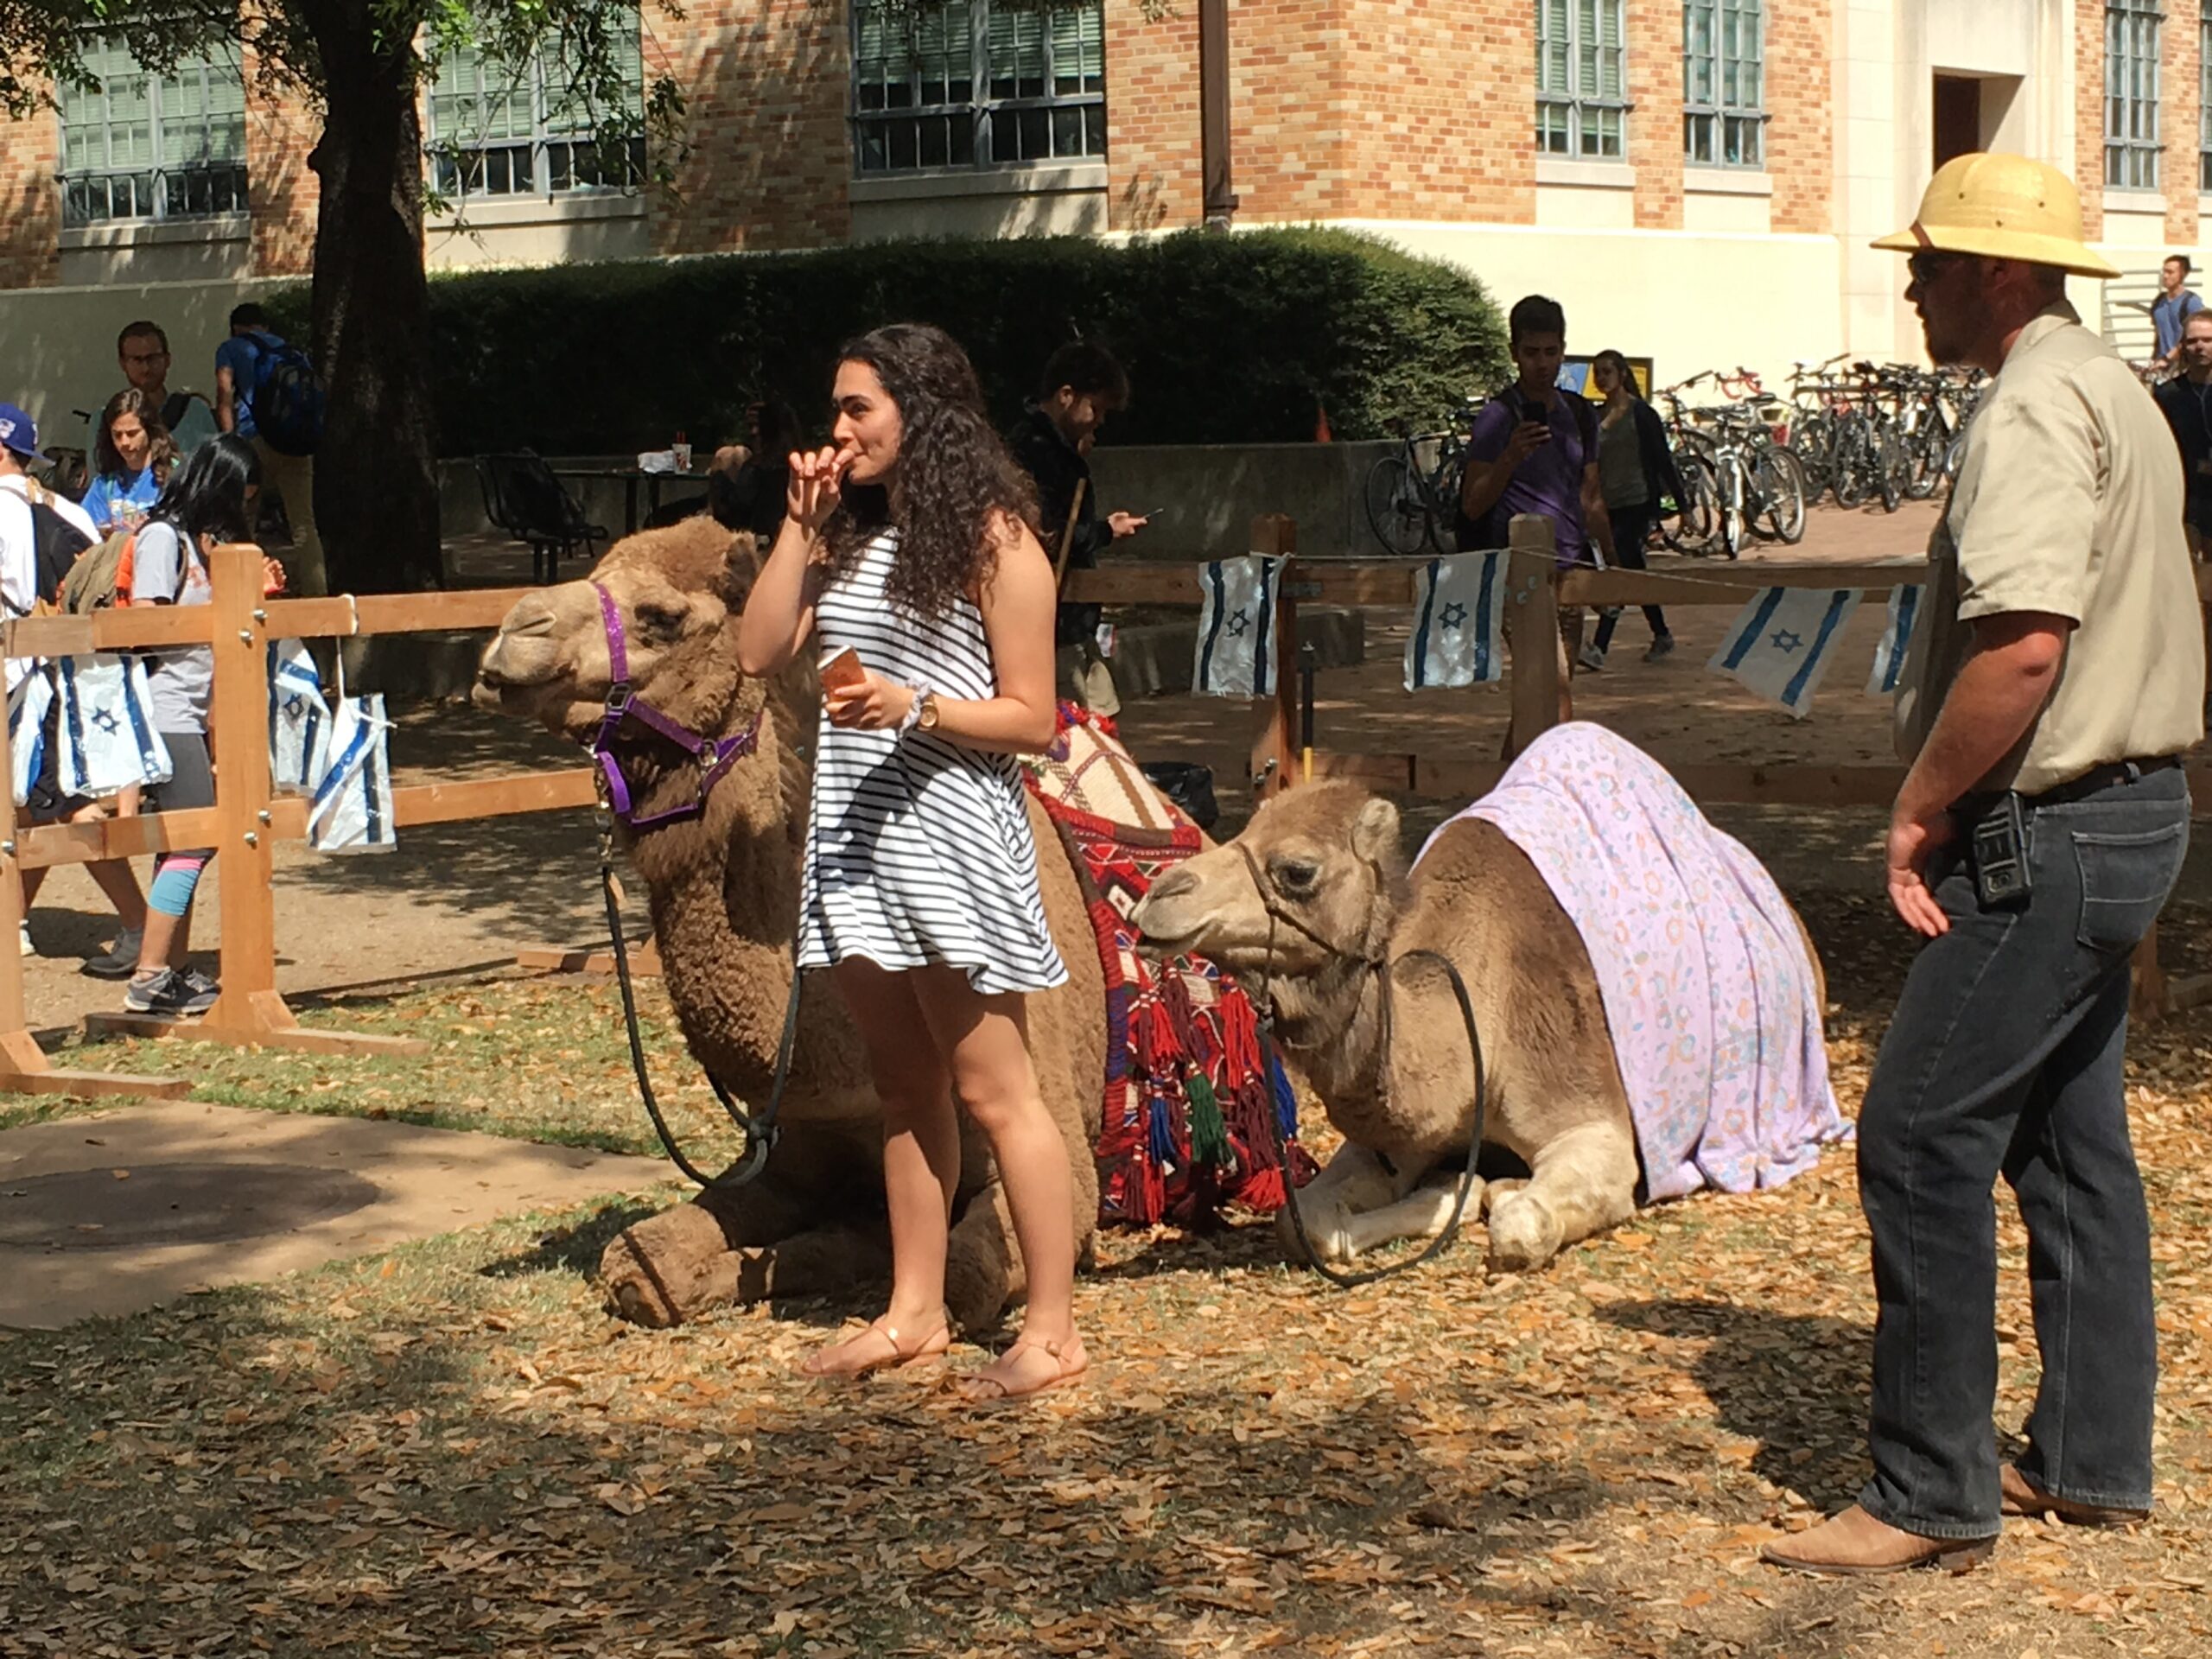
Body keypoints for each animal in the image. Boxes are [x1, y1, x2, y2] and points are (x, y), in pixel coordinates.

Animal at [474, 516, 1106, 1330]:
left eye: (660, 616)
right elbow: (644, 1265)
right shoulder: (792, 1162)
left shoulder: (1065, 1156)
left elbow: (965, 1272)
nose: (513, 633)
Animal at [1130, 775, 1832, 1272]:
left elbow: (1522, 1224)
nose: (1159, 895)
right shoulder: (1390, 1142)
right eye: (1242, 832)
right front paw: (1449, 1196)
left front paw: (1491, 1193)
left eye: (1298, 870)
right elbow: (1303, 1224)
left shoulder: (1593, 1121)